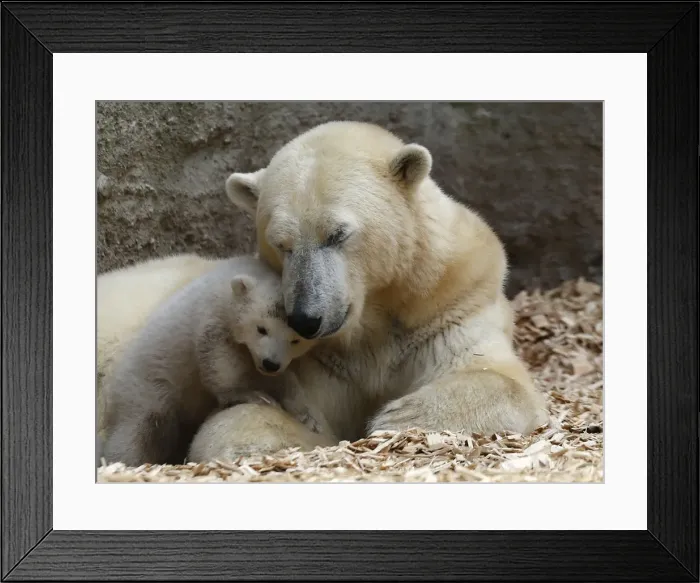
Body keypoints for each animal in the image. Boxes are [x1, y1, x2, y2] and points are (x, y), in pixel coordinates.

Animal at [99, 254, 321, 467]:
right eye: (261, 328)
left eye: (295, 341)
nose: (270, 363)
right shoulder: (215, 315)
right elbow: (218, 359)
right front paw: (250, 395)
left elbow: (276, 378)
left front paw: (307, 416)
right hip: (145, 386)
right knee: (139, 430)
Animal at [218, 120, 550, 451]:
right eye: (281, 244)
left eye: (337, 234)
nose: (305, 319)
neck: (376, 315)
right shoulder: (323, 360)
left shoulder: (450, 309)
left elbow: (496, 376)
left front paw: (398, 418)